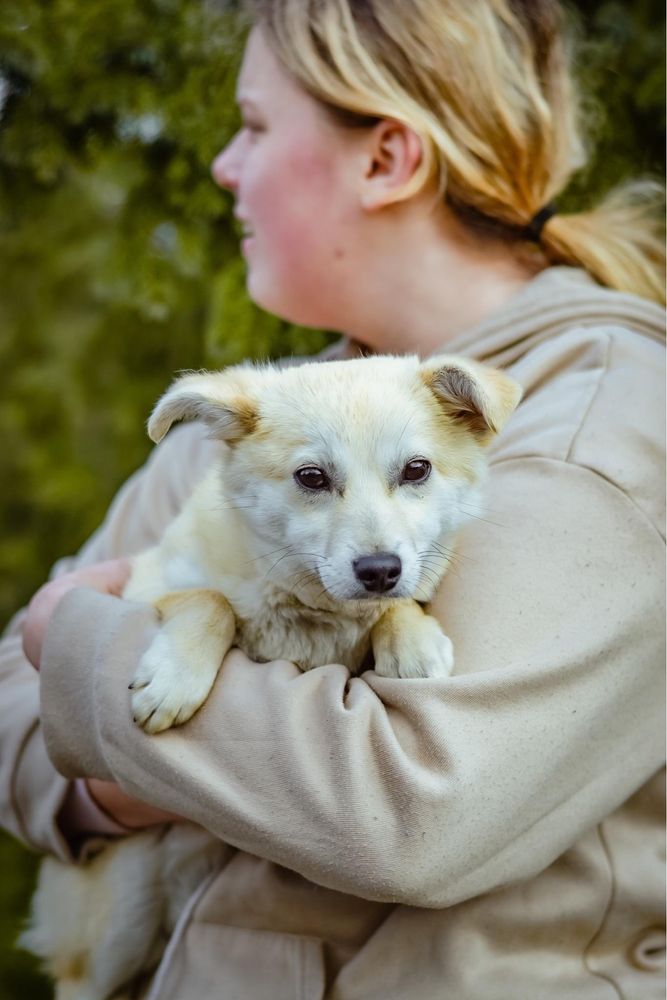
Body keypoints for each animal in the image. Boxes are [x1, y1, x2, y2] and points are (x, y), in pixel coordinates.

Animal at [20, 354, 520, 1000]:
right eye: (311, 477)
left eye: (416, 470)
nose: (379, 570)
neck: (307, 613)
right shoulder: (144, 584)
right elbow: (211, 599)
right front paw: (175, 678)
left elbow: (396, 608)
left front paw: (409, 638)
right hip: (115, 921)